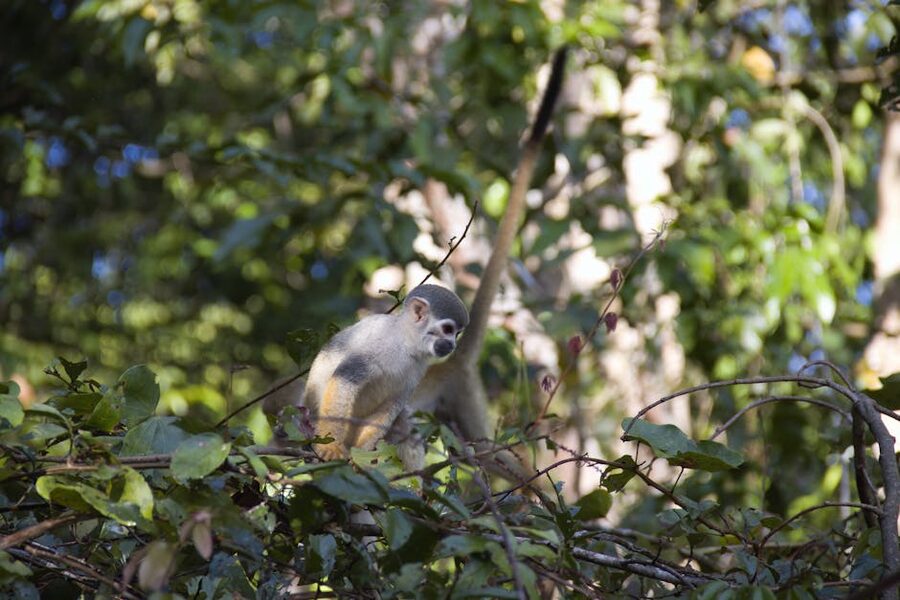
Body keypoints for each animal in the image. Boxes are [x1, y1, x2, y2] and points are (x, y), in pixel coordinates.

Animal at [302, 284, 468, 461]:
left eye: (457, 333)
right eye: (448, 329)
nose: (452, 344)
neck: (406, 343)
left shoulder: (419, 366)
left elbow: (392, 403)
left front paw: (362, 455)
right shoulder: (378, 342)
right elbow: (344, 380)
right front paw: (330, 447)